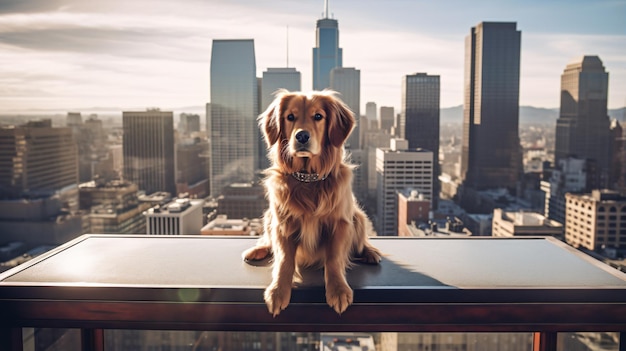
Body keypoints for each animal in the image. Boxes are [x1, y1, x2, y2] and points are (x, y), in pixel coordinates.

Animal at [243, 90, 380, 316]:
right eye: (290, 117)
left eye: (318, 116)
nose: (302, 136)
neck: (308, 180)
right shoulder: (283, 224)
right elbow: (284, 260)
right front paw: (278, 290)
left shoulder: (340, 223)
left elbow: (334, 259)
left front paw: (338, 289)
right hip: (270, 216)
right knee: (268, 241)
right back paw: (258, 249)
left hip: (357, 217)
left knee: (360, 243)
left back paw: (370, 252)